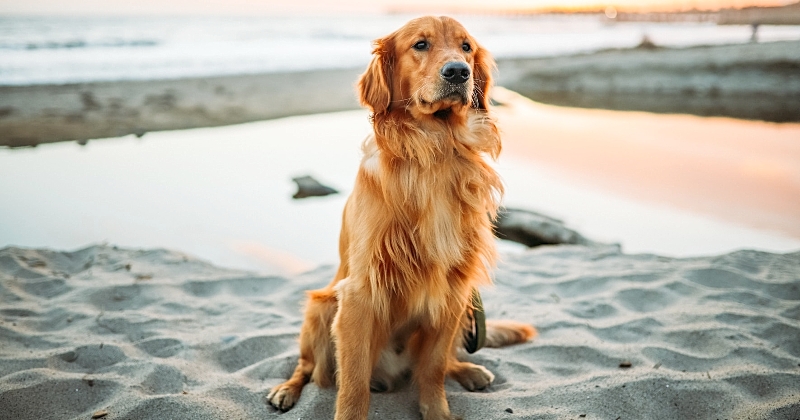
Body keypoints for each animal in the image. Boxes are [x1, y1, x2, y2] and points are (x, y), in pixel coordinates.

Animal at [266, 16, 536, 420]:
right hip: (321, 307)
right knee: (307, 367)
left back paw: (468, 370)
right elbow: (353, 384)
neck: (436, 149)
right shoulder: (360, 292)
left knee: (442, 361)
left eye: (467, 47)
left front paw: (438, 411)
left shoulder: (454, 288)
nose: (458, 71)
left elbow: (434, 368)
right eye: (420, 45)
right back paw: (286, 390)